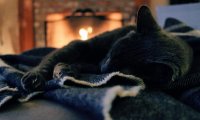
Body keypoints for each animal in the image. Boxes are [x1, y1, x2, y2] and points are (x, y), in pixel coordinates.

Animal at [20, 5, 192, 92]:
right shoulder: (80, 45)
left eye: (120, 70)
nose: (103, 68)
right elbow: (51, 61)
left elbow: (74, 65)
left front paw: (66, 71)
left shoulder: (92, 65)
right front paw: (36, 78)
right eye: (112, 53)